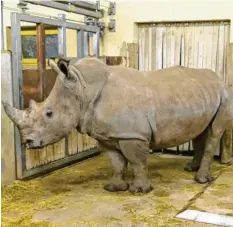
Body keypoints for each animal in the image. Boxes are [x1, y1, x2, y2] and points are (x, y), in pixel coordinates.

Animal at [2, 57, 233, 193]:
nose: (28, 142)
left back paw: (201, 180)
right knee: (201, 131)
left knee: (214, 133)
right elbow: (117, 162)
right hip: (200, 95)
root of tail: (219, 78)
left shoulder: (132, 134)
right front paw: (114, 188)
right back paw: (190, 169)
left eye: (49, 113)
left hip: (223, 94)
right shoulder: (108, 135)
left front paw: (139, 191)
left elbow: (137, 161)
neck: (83, 88)